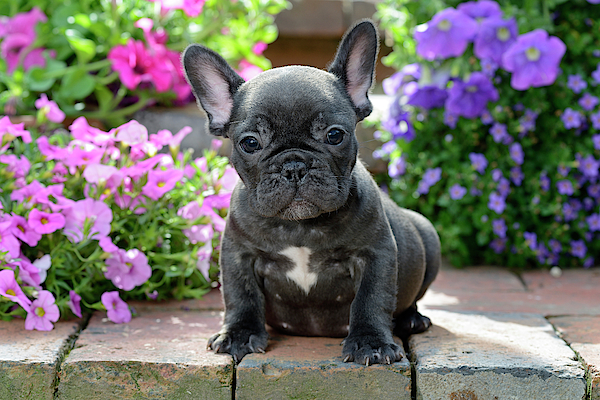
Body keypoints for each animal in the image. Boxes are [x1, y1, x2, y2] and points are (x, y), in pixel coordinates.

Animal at [183, 19, 440, 366]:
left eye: (334, 135)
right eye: (250, 142)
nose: (294, 165)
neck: (300, 228)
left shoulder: (375, 254)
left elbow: (371, 298)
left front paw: (371, 342)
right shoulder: (238, 254)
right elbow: (240, 295)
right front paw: (238, 334)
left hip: (428, 237)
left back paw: (411, 320)